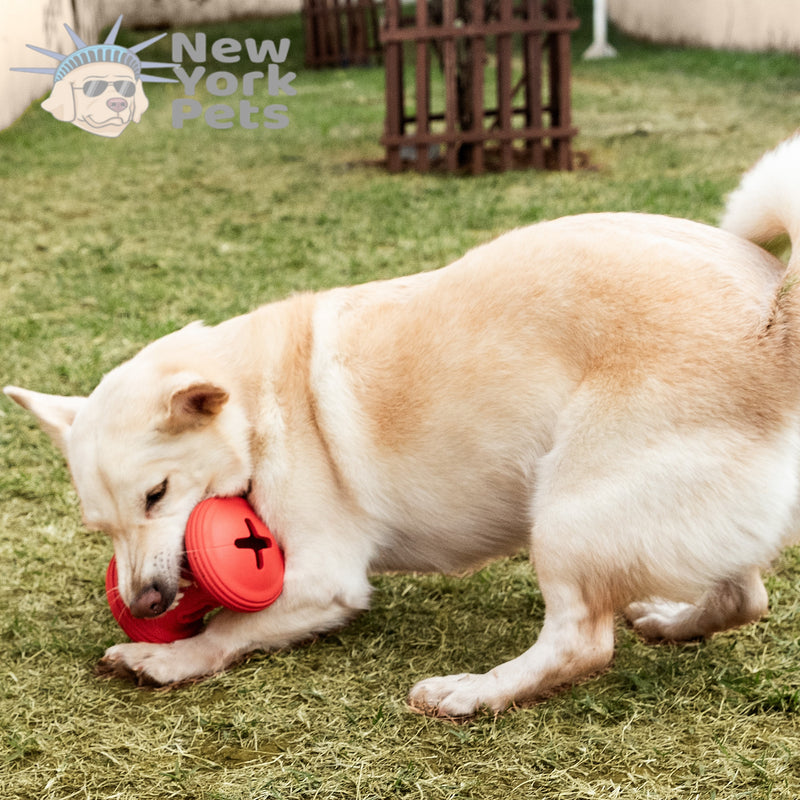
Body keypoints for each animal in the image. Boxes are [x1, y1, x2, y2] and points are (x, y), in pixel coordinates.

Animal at [6, 138, 800, 720]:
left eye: (158, 495)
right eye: (100, 527)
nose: (146, 604)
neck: (258, 399)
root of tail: (770, 323)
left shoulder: (322, 582)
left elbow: (228, 630)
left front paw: (166, 658)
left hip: (567, 513)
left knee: (580, 643)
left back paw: (474, 691)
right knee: (743, 597)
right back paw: (673, 621)